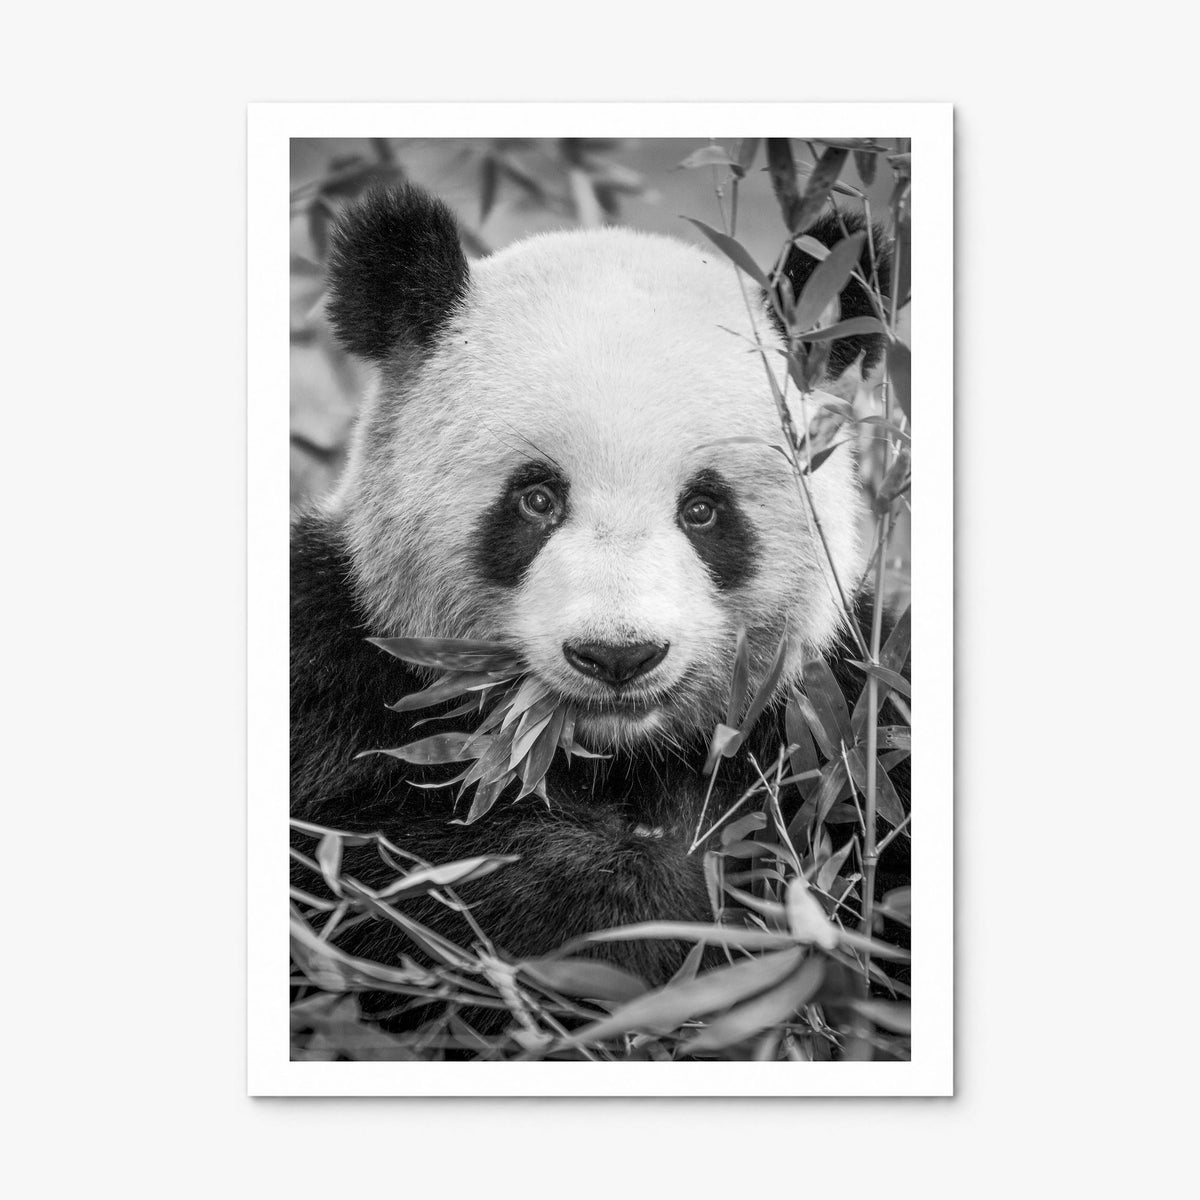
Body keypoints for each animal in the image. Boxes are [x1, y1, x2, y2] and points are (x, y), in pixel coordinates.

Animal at [291, 183, 905, 991]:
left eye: (703, 509)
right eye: (536, 499)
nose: (618, 656)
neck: (613, 757)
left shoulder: (843, 713)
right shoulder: (333, 671)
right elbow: (379, 876)